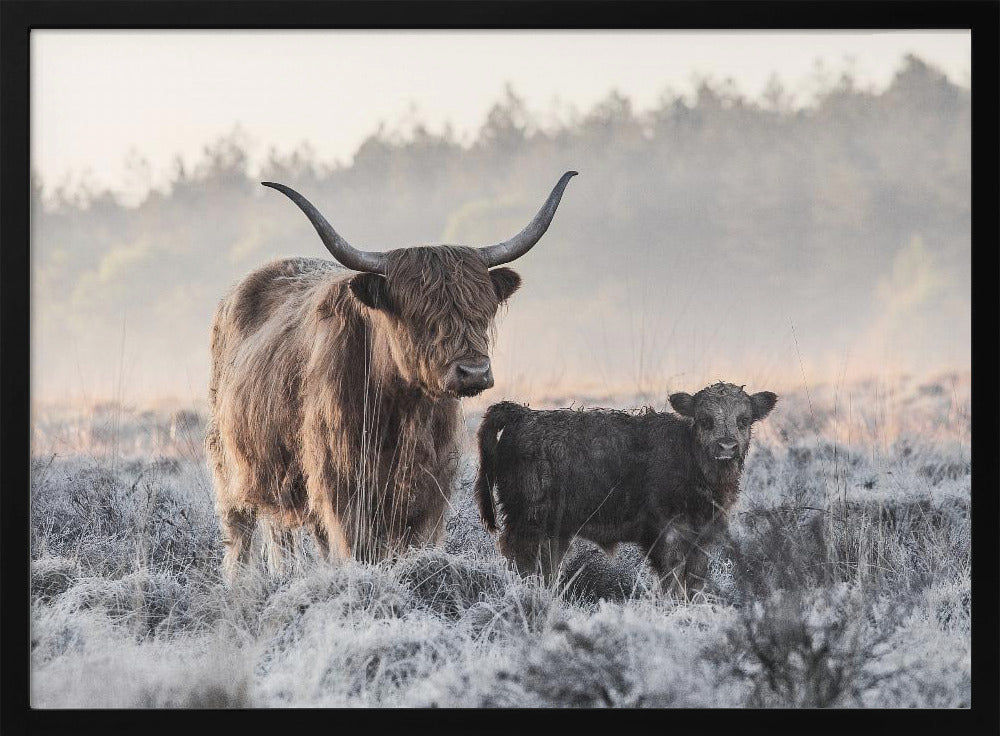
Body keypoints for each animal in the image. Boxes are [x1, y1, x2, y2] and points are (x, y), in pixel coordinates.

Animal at [206, 172, 577, 579]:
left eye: (482, 311)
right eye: (419, 316)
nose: (473, 372)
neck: (403, 411)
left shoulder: (431, 492)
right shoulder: (342, 488)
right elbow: (357, 550)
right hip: (231, 467)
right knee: (240, 535)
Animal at [474, 382, 777, 598]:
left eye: (744, 420)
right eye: (705, 420)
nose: (727, 446)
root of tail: (522, 414)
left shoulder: (701, 537)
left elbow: (695, 581)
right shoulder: (667, 533)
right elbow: (673, 578)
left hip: (555, 532)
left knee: (547, 567)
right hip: (528, 521)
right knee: (523, 561)